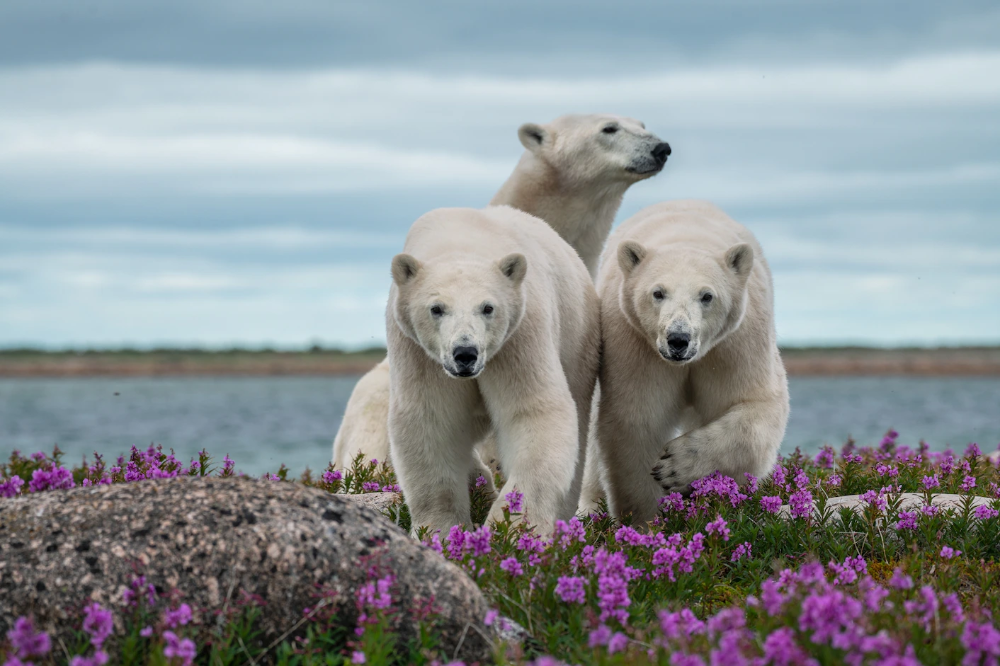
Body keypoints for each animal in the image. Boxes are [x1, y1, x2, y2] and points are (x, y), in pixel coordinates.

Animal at [386, 205, 596, 532]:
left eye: (487, 307)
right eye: (436, 308)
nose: (465, 353)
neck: (459, 241)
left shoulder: (519, 335)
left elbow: (533, 412)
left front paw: (512, 524)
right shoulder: (417, 351)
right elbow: (430, 421)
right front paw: (441, 529)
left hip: (577, 338)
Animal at [584, 200, 788, 520]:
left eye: (707, 296)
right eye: (658, 293)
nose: (678, 339)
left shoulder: (735, 344)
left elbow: (753, 405)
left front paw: (677, 466)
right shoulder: (636, 344)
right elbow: (637, 418)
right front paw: (647, 518)